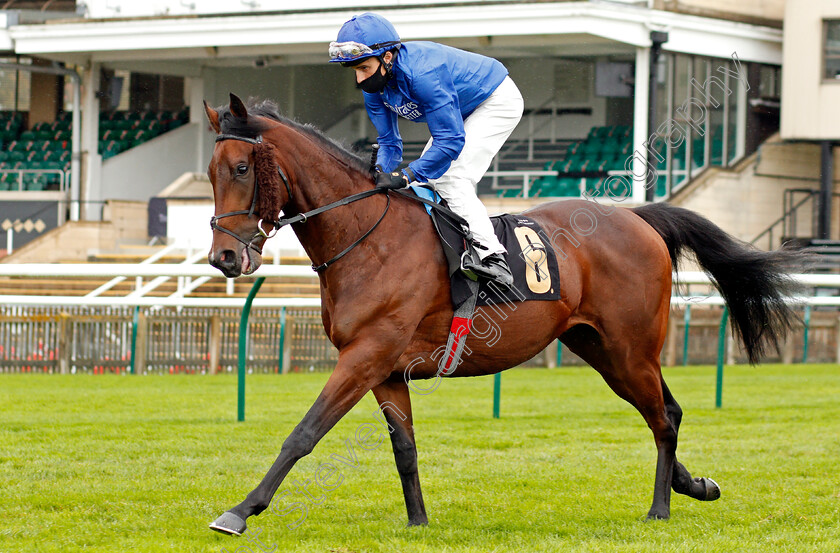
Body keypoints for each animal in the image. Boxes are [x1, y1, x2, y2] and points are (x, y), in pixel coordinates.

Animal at [202, 95, 800, 536]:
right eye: (209, 173)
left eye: (241, 167)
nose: (224, 258)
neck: (367, 237)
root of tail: (640, 218)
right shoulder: (387, 369)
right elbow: (404, 448)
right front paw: (418, 522)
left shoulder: (365, 355)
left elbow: (303, 434)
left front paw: (240, 511)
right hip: (601, 349)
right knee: (663, 411)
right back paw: (695, 486)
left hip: (630, 348)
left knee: (664, 418)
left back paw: (659, 509)